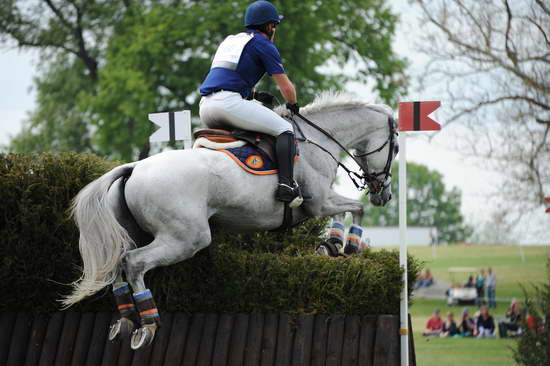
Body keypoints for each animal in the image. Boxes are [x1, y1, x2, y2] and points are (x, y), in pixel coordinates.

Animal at [64, 92, 398, 348]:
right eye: (395, 148)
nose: (384, 195)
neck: (317, 140)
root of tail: (133, 168)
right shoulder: (318, 202)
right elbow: (355, 208)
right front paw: (346, 245)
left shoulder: (321, 203)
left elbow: (347, 210)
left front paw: (331, 245)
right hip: (186, 238)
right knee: (133, 263)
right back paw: (147, 324)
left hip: (136, 233)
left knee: (117, 263)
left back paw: (123, 321)